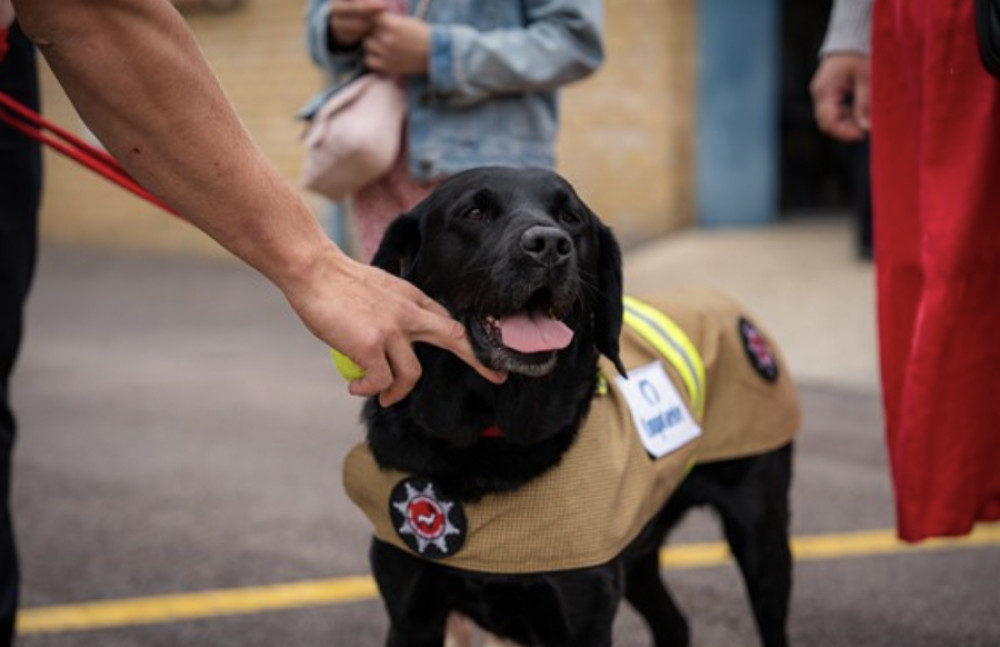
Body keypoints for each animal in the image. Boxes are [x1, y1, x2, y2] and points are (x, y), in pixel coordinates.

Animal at [352, 168, 796, 647]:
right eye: (473, 212)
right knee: (674, 623)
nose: (550, 244)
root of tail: (726, 302)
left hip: (761, 536)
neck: (487, 439)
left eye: (570, 218)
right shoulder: (412, 616)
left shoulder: (582, 616)